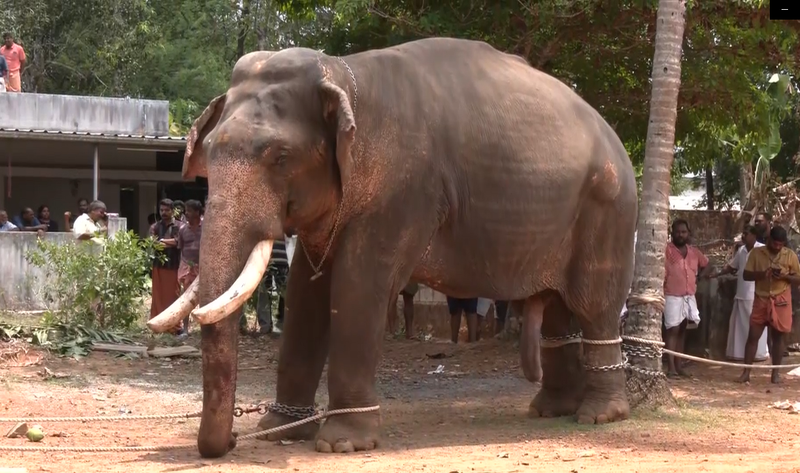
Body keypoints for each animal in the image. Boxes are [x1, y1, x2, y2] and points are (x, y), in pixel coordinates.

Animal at [147, 37, 637, 458]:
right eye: (209, 152)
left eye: (280, 157)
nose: (231, 440)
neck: (343, 74)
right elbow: (307, 293)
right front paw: (275, 431)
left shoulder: (404, 191)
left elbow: (357, 288)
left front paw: (341, 444)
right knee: (557, 312)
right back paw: (551, 410)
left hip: (608, 209)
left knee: (594, 306)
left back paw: (599, 416)